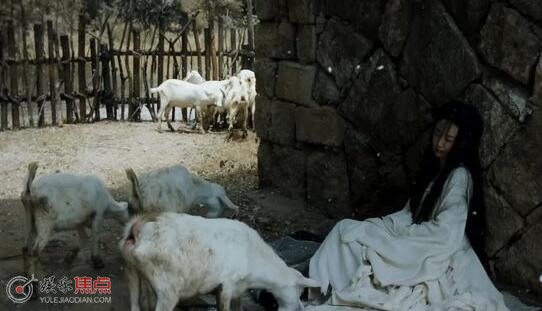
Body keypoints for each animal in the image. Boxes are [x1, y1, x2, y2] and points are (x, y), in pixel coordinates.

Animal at [121, 213, 320, 311]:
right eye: (300, 290)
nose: (299, 308)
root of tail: (137, 230)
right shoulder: (227, 285)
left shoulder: (235, 289)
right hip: (167, 289)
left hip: (132, 270)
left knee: (135, 306)